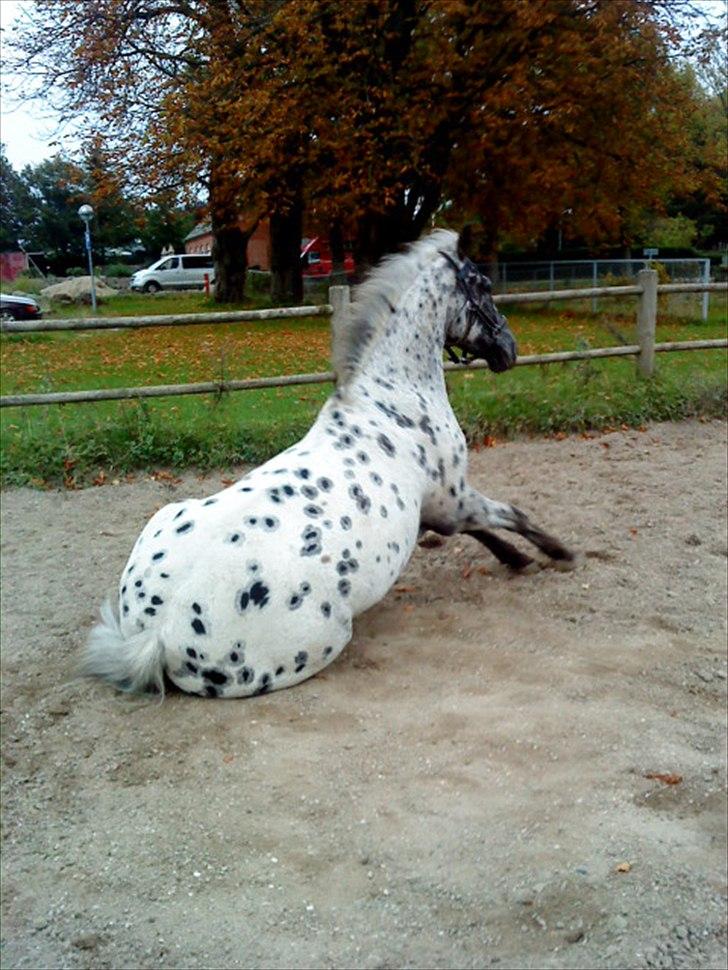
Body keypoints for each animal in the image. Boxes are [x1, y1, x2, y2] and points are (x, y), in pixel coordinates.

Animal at [85, 227, 576, 696]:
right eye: (484, 286)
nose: (509, 349)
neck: (392, 401)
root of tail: (157, 633)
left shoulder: (441, 507)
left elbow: (484, 531)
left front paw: (519, 558)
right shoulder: (454, 498)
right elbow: (511, 516)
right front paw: (557, 553)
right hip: (328, 638)